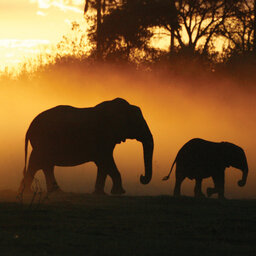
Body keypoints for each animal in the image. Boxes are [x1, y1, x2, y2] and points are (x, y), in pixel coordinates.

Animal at [19, 97, 154, 194]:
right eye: (138, 124)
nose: (141, 177)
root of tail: (29, 127)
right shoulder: (102, 136)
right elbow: (106, 160)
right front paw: (119, 193)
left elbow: (103, 164)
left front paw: (100, 193)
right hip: (43, 141)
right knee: (39, 163)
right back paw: (30, 192)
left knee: (43, 165)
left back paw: (50, 191)